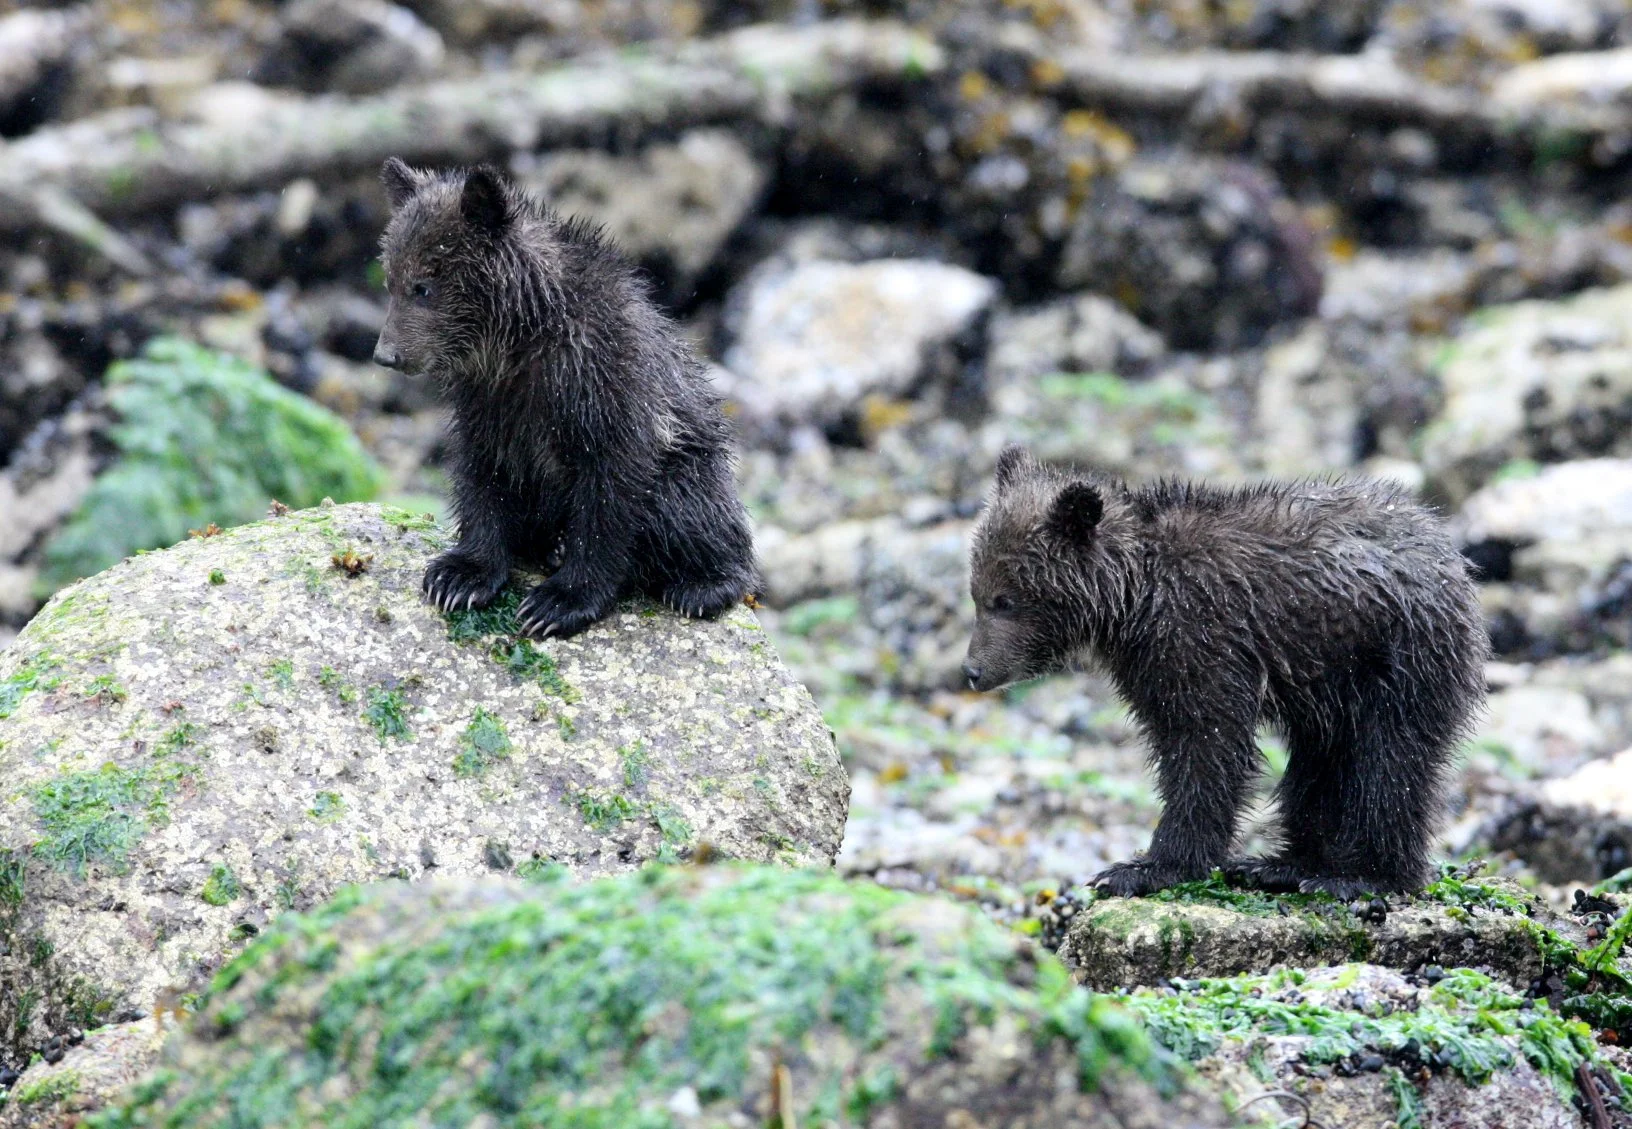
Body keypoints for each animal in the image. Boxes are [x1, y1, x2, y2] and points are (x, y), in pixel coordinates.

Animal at [371, 157, 759, 639]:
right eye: (390, 280)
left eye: (423, 286)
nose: (386, 354)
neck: (520, 339)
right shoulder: (488, 402)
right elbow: (484, 472)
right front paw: (460, 575)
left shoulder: (605, 387)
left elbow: (609, 494)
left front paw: (557, 602)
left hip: (692, 464)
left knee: (690, 511)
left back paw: (702, 586)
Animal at [961, 444, 1488, 900]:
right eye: (976, 593)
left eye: (1005, 600)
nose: (972, 670)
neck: (1134, 596)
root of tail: (1456, 561)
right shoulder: (1150, 660)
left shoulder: (1202, 636)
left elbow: (1206, 742)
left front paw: (1145, 867)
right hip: (1335, 684)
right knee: (1321, 763)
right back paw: (1283, 865)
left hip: (1400, 658)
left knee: (1390, 759)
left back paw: (1364, 877)